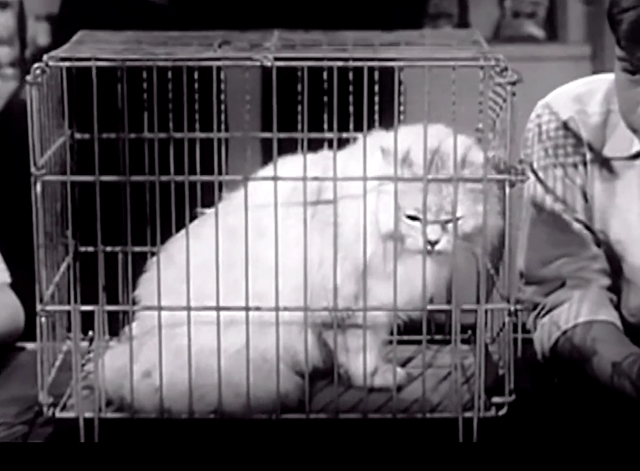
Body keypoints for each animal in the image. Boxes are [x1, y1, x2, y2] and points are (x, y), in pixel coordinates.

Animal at [95, 121, 504, 416]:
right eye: (413, 217)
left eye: (452, 219)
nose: (434, 241)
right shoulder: (349, 309)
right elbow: (363, 356)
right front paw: (380, 378)